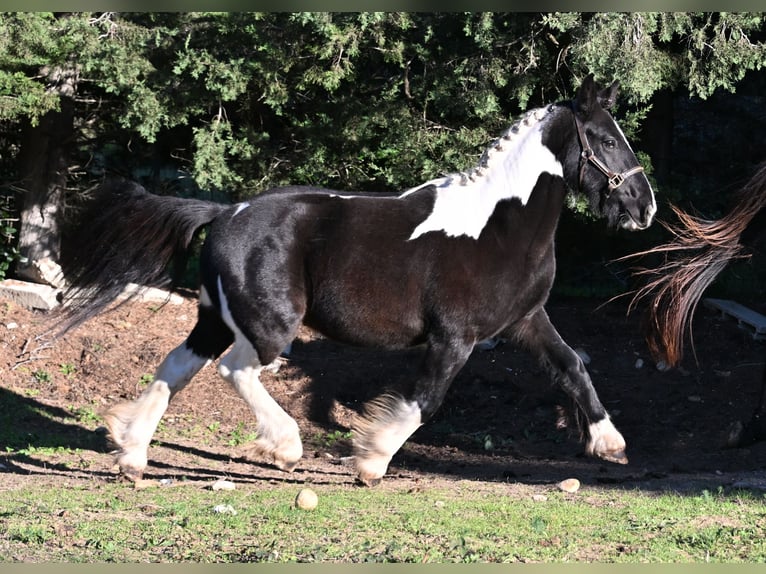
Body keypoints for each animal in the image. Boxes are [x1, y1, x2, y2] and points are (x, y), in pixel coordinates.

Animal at [58, 74, 656, 486]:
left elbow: (571, 366)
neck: (499, 225)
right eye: (605, 140)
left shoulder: (526, 321)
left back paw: (131, 454)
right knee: (235, 370)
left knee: (175, 367)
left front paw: (610, 443)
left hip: (215, 319)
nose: (644, 207)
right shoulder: (454, 338)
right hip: (271, 325)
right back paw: (284, 447)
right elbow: (425, 401)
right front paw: (370, 460)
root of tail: (225, 212)